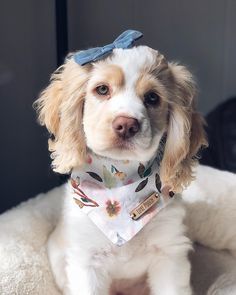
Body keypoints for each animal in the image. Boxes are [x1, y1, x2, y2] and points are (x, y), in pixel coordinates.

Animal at [34, 30, 207, 295]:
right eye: (102, 89)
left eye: (153, 97)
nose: (126, 125)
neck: (121, 181)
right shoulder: (87, 261)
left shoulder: (169, 254)